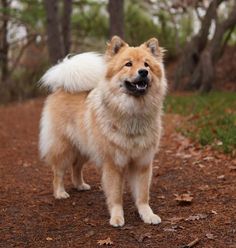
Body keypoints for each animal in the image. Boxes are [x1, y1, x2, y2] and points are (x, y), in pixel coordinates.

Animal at [39, 35, 167, 228]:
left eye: (147, 64)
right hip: (64, 147)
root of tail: (62, 87)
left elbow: (143, 195)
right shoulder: (113, 163)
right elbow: (115, 196)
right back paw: (60, 192)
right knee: (58, 172)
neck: (133, 113)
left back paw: (80, 185)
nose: (143, 72)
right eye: (128, 64)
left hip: (85, 148)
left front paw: (147, 214)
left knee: (76, 167)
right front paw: (117, 217)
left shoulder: (142, 162)